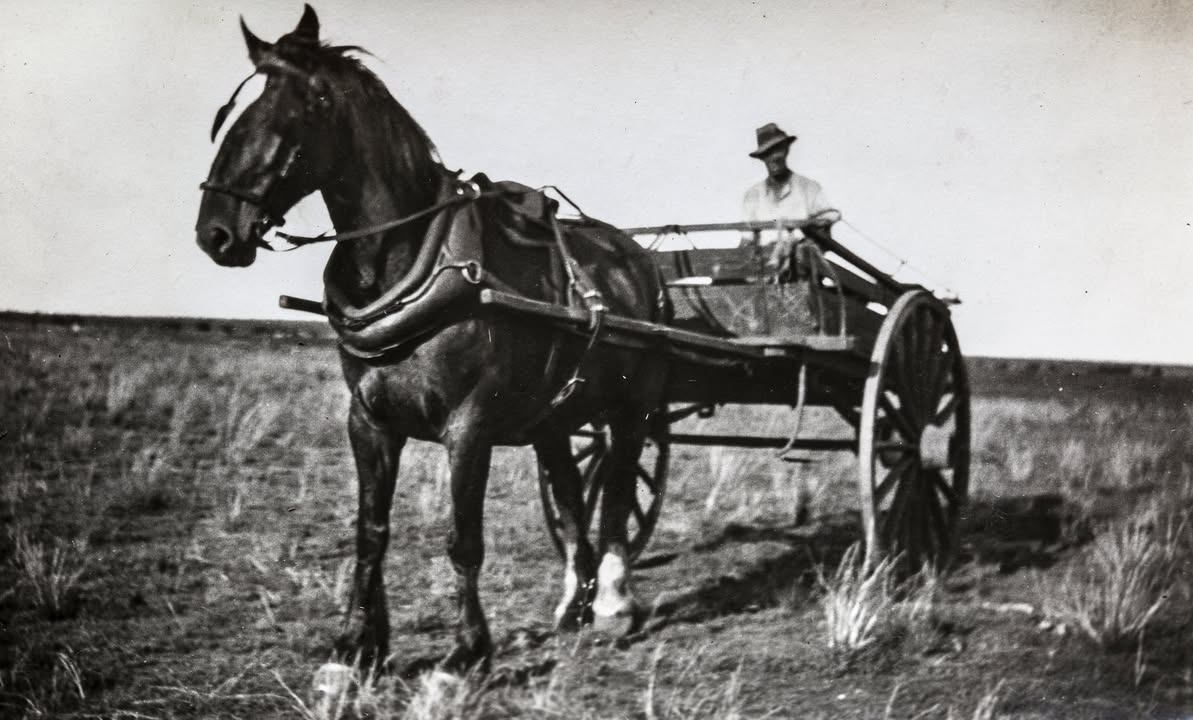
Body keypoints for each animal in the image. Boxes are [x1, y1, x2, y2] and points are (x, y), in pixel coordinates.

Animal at [195, 5, 668, 673]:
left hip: (632, 409)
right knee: (574, 493)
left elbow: (463, 538)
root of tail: (640, 260)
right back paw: (574, 605)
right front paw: (356, 645)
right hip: (556, 416)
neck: (413, 260)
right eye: (233, 115)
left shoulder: (469, 426)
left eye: (300, 109)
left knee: (619, 491)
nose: (216, 232)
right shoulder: (368, 421)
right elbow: (370, 532)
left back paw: (614, 603)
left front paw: (467, 651)